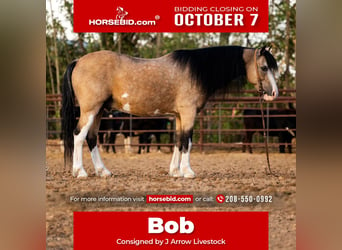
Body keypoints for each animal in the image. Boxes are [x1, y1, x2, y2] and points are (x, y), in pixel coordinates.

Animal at [62, 45, 278, 178]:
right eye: (264, 67)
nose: (274, 93)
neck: (196, 71)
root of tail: (78, 61)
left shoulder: (179, 116)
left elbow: (178, 141)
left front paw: (175, 171)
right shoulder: (189, 113)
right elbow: (187, 141)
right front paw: (188, 172)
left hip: (99, 111)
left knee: (91, 138)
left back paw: (103, 171)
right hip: (90, 110)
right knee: (79, 135)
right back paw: (80, 172)